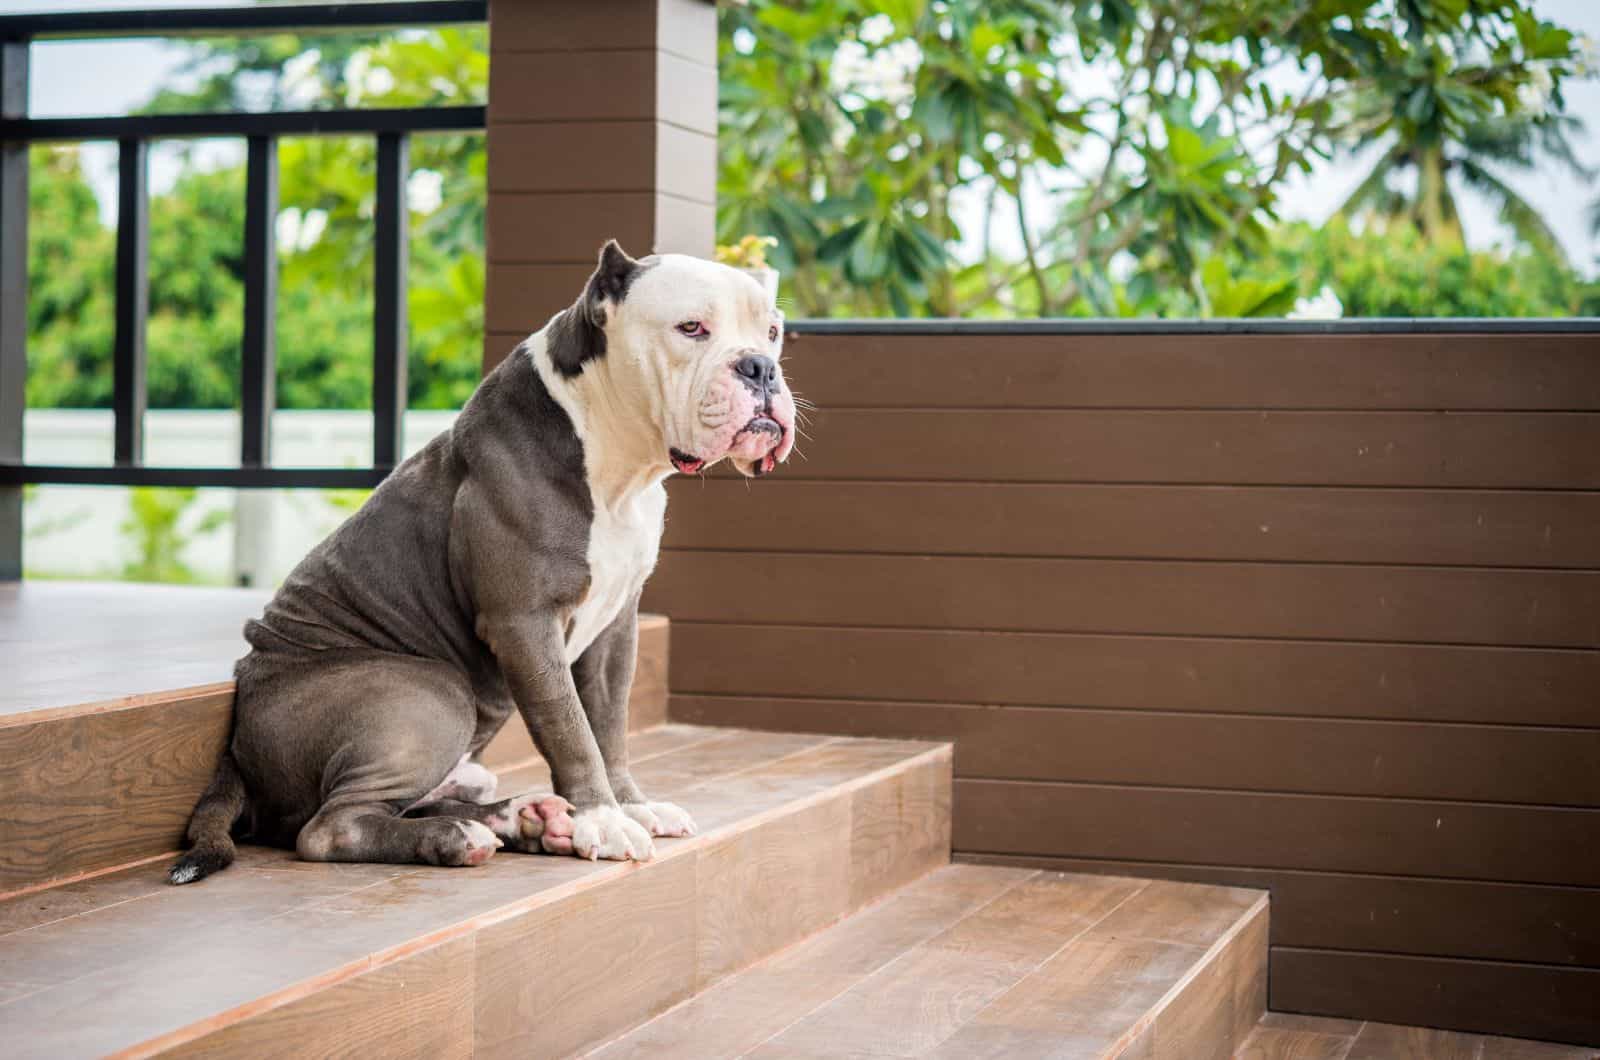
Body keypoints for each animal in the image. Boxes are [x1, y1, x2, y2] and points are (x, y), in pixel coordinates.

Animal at [168, 244, 793, 883]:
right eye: (691, 328)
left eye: (772, 333)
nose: (760, 368)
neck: (615, 461)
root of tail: (239, 745)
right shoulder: (523, 621)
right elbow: (570, 728)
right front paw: (604, 819)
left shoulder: (616, 630)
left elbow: (609, 726)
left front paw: (632, 806)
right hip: (430, 693)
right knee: (329, 827)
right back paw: (461, 836)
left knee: (410, 801)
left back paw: (528, 819)